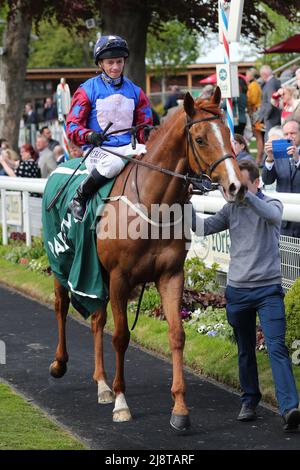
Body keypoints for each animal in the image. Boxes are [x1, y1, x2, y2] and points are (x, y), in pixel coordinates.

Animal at [49, 86, 245, 432]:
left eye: (227, 133)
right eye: (200, 139)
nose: (235, 185)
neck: (155, 205)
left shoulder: (170, 275)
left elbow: (177, 336)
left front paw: (179, 409)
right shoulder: (119, 278)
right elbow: (121, 337)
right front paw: (121, 403)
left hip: (94, 275)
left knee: (97, 319)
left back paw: (102, 384)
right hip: (66, 265)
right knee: (61, 306)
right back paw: (60, 364)